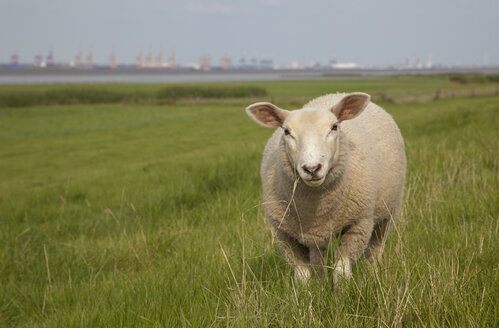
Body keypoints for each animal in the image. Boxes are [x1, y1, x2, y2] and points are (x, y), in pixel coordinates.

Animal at [245, 93, 406, 284]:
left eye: (334, 127)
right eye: (286, 132)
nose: (312, 168)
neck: (316, 208)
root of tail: (335, 94)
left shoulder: (358, 224)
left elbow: (341, 272)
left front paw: (341, 291)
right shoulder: (285, 234)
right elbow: (302, 275)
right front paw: (308, 292)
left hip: (389, 213)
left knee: (374, 251)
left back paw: (373, 276)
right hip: (316, 237)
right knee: (318, 262)